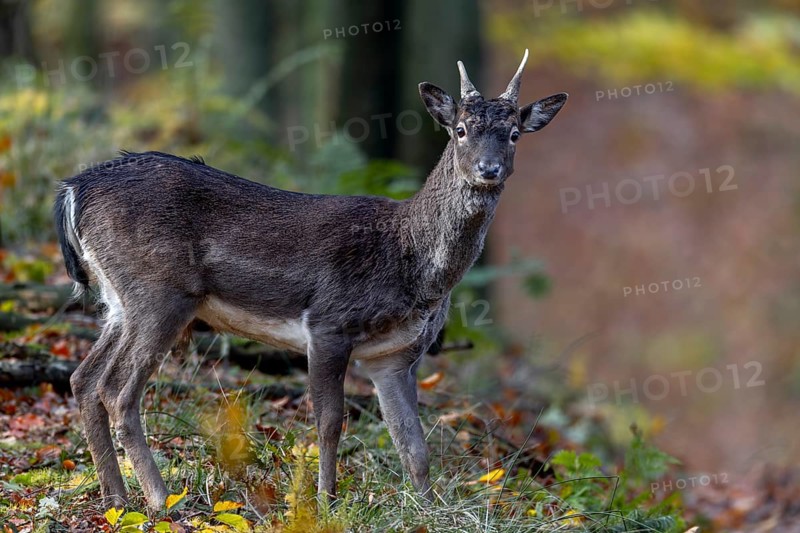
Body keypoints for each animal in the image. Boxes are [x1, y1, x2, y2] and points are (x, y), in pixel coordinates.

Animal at [54, 49, 567, 511]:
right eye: (460, 130)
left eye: (514, 134)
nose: (488, 169)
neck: (413, 263)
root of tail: (74, 189)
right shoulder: (328, 323)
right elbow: (329, 422)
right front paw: (323, 502)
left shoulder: (394, 356)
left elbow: (412, 441)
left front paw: (428, 510)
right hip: (159, 291)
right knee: (117, 391)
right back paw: (163, 500)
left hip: (118, 300)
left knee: (83, 379)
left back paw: (116, 498)